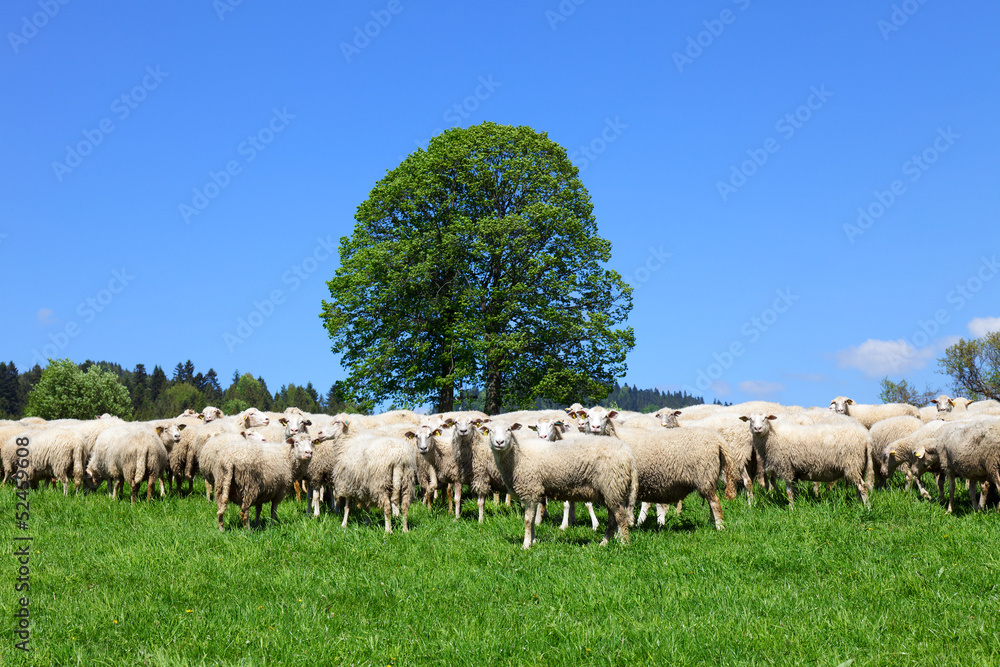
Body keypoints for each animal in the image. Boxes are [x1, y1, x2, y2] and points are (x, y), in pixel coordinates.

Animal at [483, 420, 637, 549]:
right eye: (490, 430)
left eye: (508, 429)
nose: (500, 442)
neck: (518, 457)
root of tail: (628, 454)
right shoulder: (535, 491)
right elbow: (532, 520)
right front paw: (533, 541)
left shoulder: (530, 490)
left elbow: (527, 520)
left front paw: (525, 545)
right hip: (609, 490)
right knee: (612, 520)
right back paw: (604, 543)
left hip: (612, 485)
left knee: (620, 517)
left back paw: (624, 544)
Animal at [740, 413, 871, 508]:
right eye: (750, 419)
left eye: (765, 418)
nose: (757, 428)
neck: (772, 436)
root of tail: (865, 434)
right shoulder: (794, 472)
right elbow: (794, 491)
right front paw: (796, 504)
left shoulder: (786, 468)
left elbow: (789, 492)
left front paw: (791, 509)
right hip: (860, 465)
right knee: (858, 487)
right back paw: (859, 505)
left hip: (853, 462)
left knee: (862, 487)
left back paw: (867, 508)